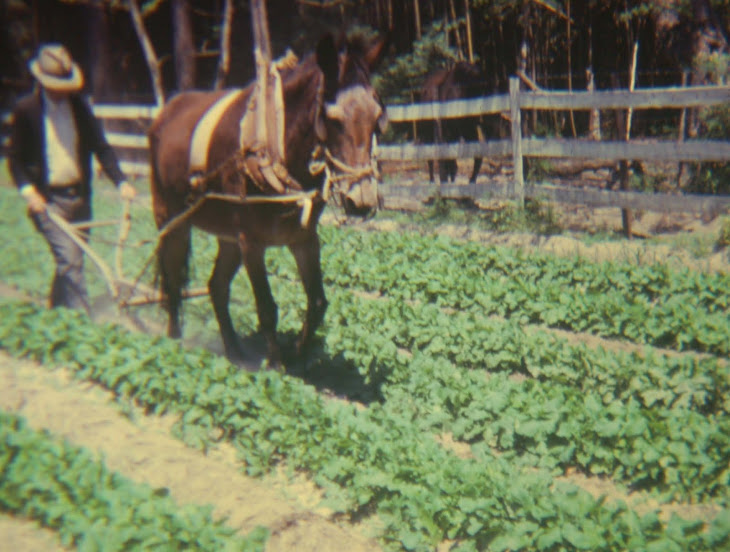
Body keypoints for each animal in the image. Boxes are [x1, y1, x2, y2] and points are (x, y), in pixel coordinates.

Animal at [147, 36, 386, 368]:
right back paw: (173, 341)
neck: (273, 146)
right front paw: (274, 365)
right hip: (173, 219)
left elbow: (318, 301)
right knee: (172, 279)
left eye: (377, 118)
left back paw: (234, 351)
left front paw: (299, 354)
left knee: (216, 287)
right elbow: (267, 307)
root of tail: (165, 113)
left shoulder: (303, 239)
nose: (361, 201)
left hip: (228, 237)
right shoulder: (252, 242)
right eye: (333, 119)